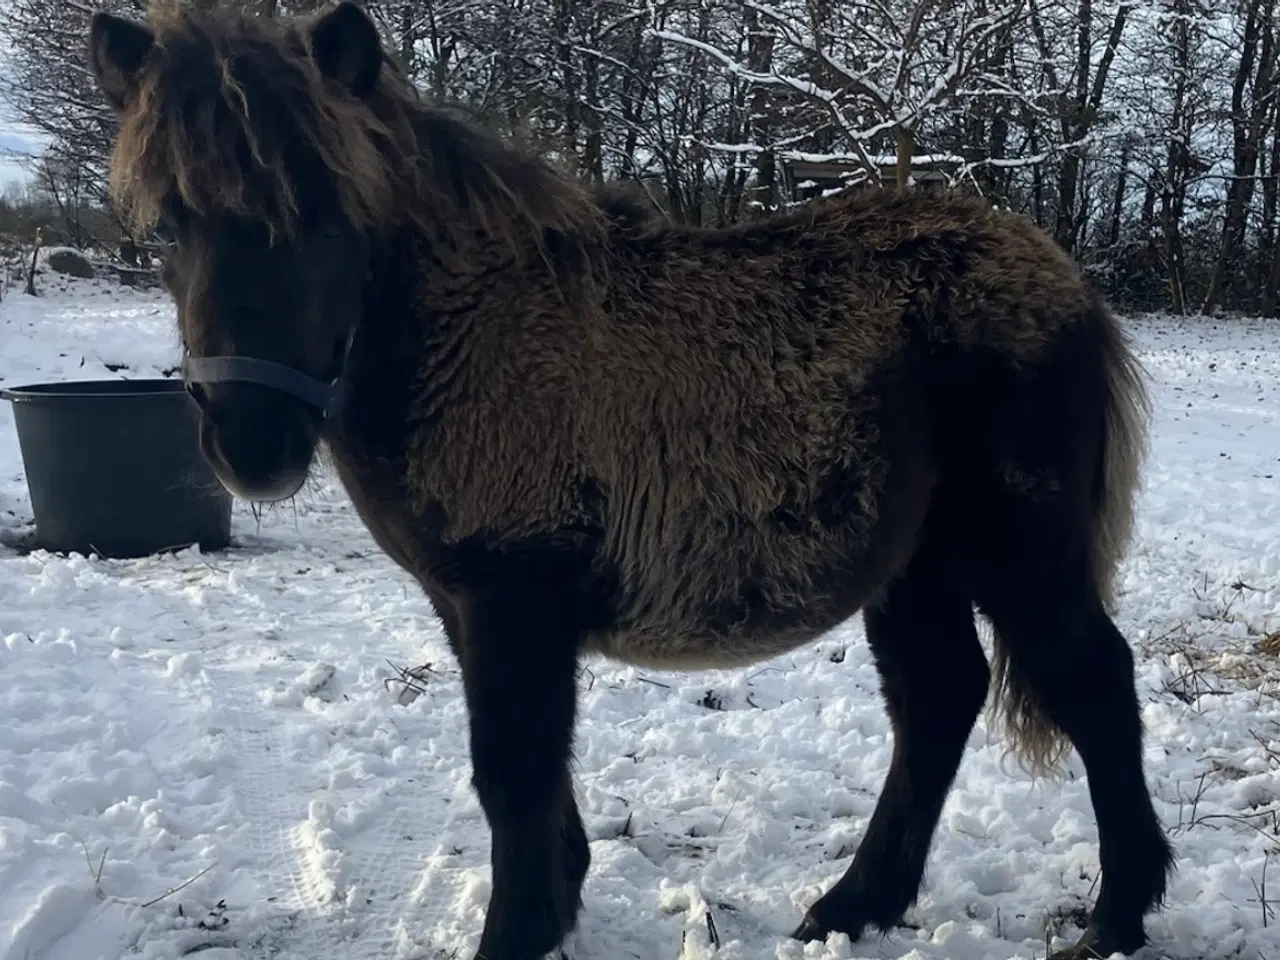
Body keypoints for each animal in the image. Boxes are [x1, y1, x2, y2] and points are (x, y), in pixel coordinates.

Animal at [85, 3, 1172, 957]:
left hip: (1018, 556)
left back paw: (1116, 918)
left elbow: (513, 774)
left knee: (1093, 685)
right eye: (169, 225)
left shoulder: (511, 597)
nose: (250, 442)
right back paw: (856, 904)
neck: (470, 329)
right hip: (915, 566)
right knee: (938, 698)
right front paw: (557, 901)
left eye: (324, 213)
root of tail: (1065, 281)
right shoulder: (471, 605)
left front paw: (517, 933)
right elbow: (528, 778)